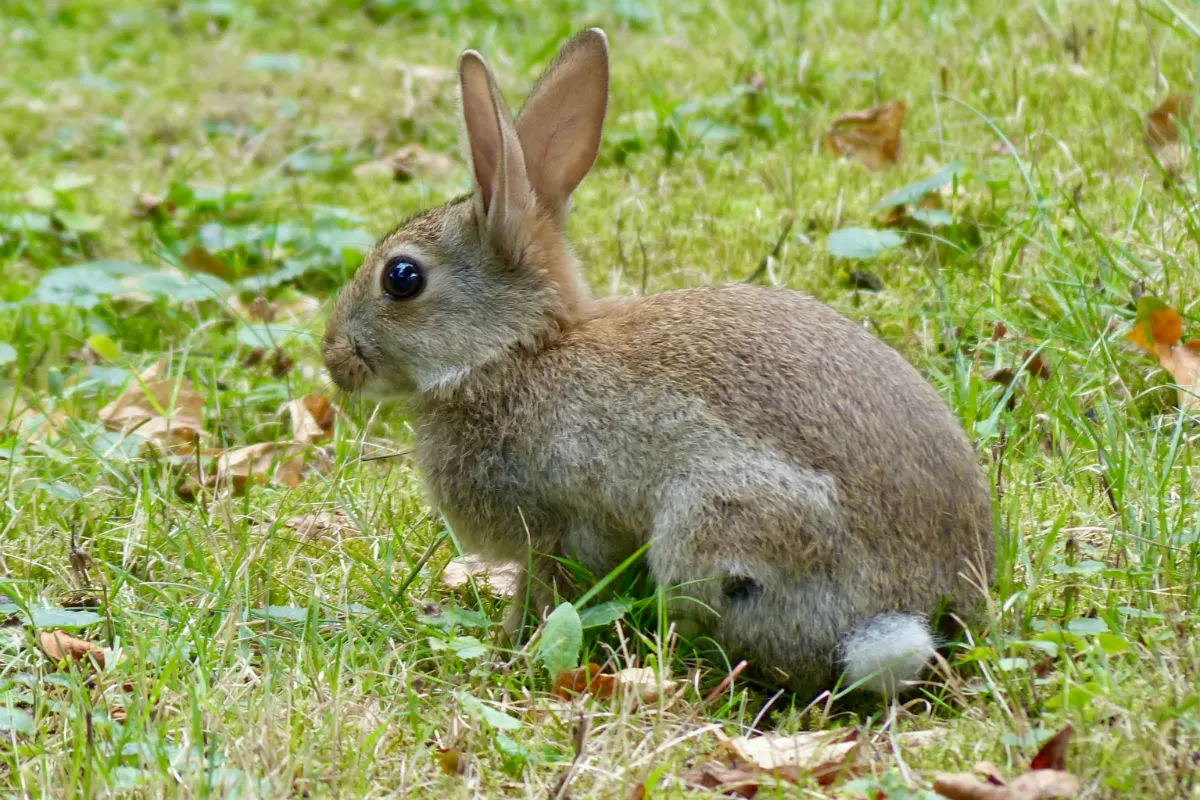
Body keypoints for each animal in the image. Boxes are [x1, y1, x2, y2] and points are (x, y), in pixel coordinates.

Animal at [322, 28, 995, 697]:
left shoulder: (557, 527)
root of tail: (932, 611)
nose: (333, 359)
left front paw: (509, 651)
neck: (514, 352)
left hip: (715, 534)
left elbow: (545, 592)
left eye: (402, 278)